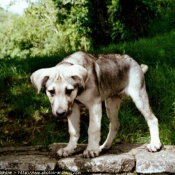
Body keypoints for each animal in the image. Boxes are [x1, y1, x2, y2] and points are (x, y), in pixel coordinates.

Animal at [30, 51, 162, 158]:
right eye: (51, 92)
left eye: (69, 91)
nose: (60, 113)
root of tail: (136, 64)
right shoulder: (73, 107)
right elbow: (73, 131)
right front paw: (69, 149)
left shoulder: (94, 105)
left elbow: (92, 129)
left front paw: (91, 150)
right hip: (111, 103)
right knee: (115, 124)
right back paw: (104, 146)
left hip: (139, 96)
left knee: (152, 119)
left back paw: (155, 144)